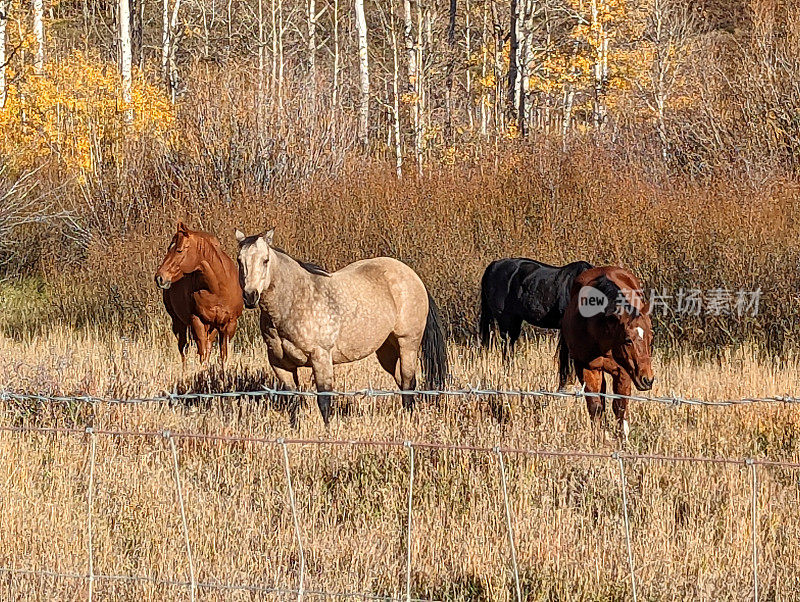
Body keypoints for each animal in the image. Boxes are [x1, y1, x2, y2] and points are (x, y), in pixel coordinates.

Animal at [155, 221, 242, 366]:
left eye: (179, 250)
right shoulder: (197, 321)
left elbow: (223, 355)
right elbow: (202, 354)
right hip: (179, 322)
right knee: (183, 349)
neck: (217, 289)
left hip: (212, 328)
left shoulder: (229, 325)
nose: (159, 277)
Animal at [238, 227, 450, 424]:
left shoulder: (321, 358)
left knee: (408, 383)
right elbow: (293, 402)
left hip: (408, 344)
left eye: (265, 260)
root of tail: (414, 277)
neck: (295, 301)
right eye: (240, 261)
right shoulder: (280, 364)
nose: (250, 296)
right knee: (401, 381)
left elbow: (324, 402)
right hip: (387, 350)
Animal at [560, 264, 652, 438]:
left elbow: (620, 406)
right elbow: (595, 407)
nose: (647, 380)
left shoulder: (624, 371)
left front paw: (623, 439)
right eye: (628, 340)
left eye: (651, 337)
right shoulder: (586, 368)